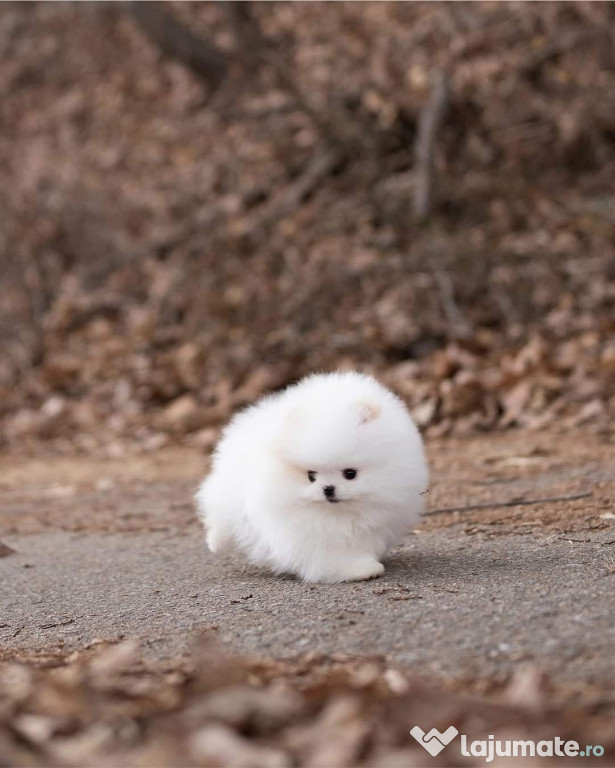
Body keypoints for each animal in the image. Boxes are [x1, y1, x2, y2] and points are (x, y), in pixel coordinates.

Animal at [196, 372, 428, 584]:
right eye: (311, 476)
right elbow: (329, 554)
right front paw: (359, 570)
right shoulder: (303, 530)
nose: (328, 489)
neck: (339, 514)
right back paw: (215, 542)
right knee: (221, 521)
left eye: (350, 474)